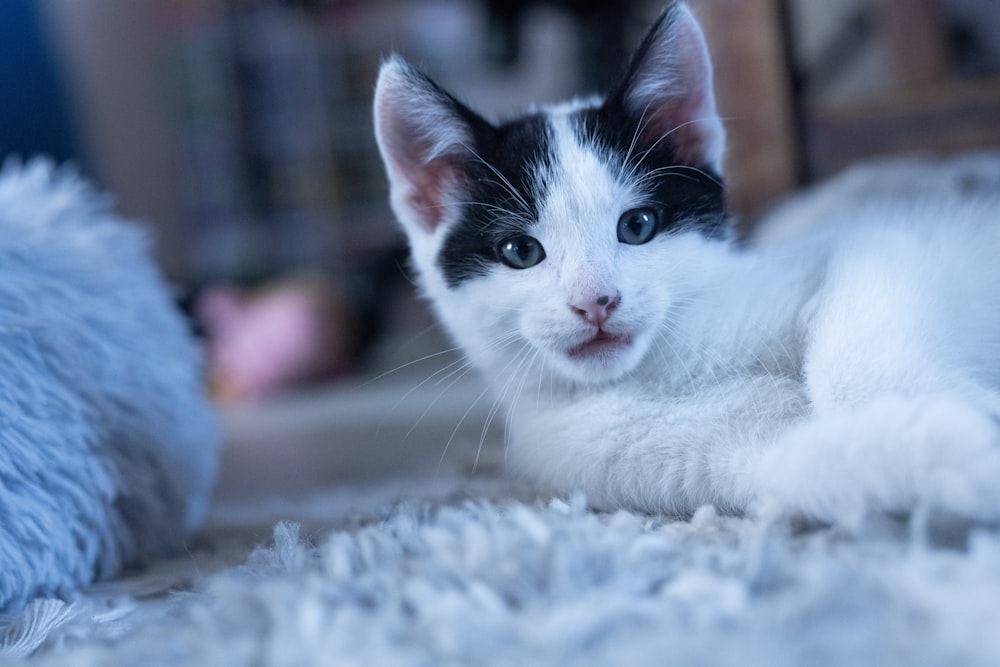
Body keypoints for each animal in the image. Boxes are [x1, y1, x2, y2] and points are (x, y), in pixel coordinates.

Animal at [374, 2, 1000, 524]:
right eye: (520, 252)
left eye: (637, 226)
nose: (596, 301)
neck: (663, 370)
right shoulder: (640, 458)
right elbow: (807, 463)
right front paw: (962, 451)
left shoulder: (875, 244)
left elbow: (863, 331)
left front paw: (943, 405)